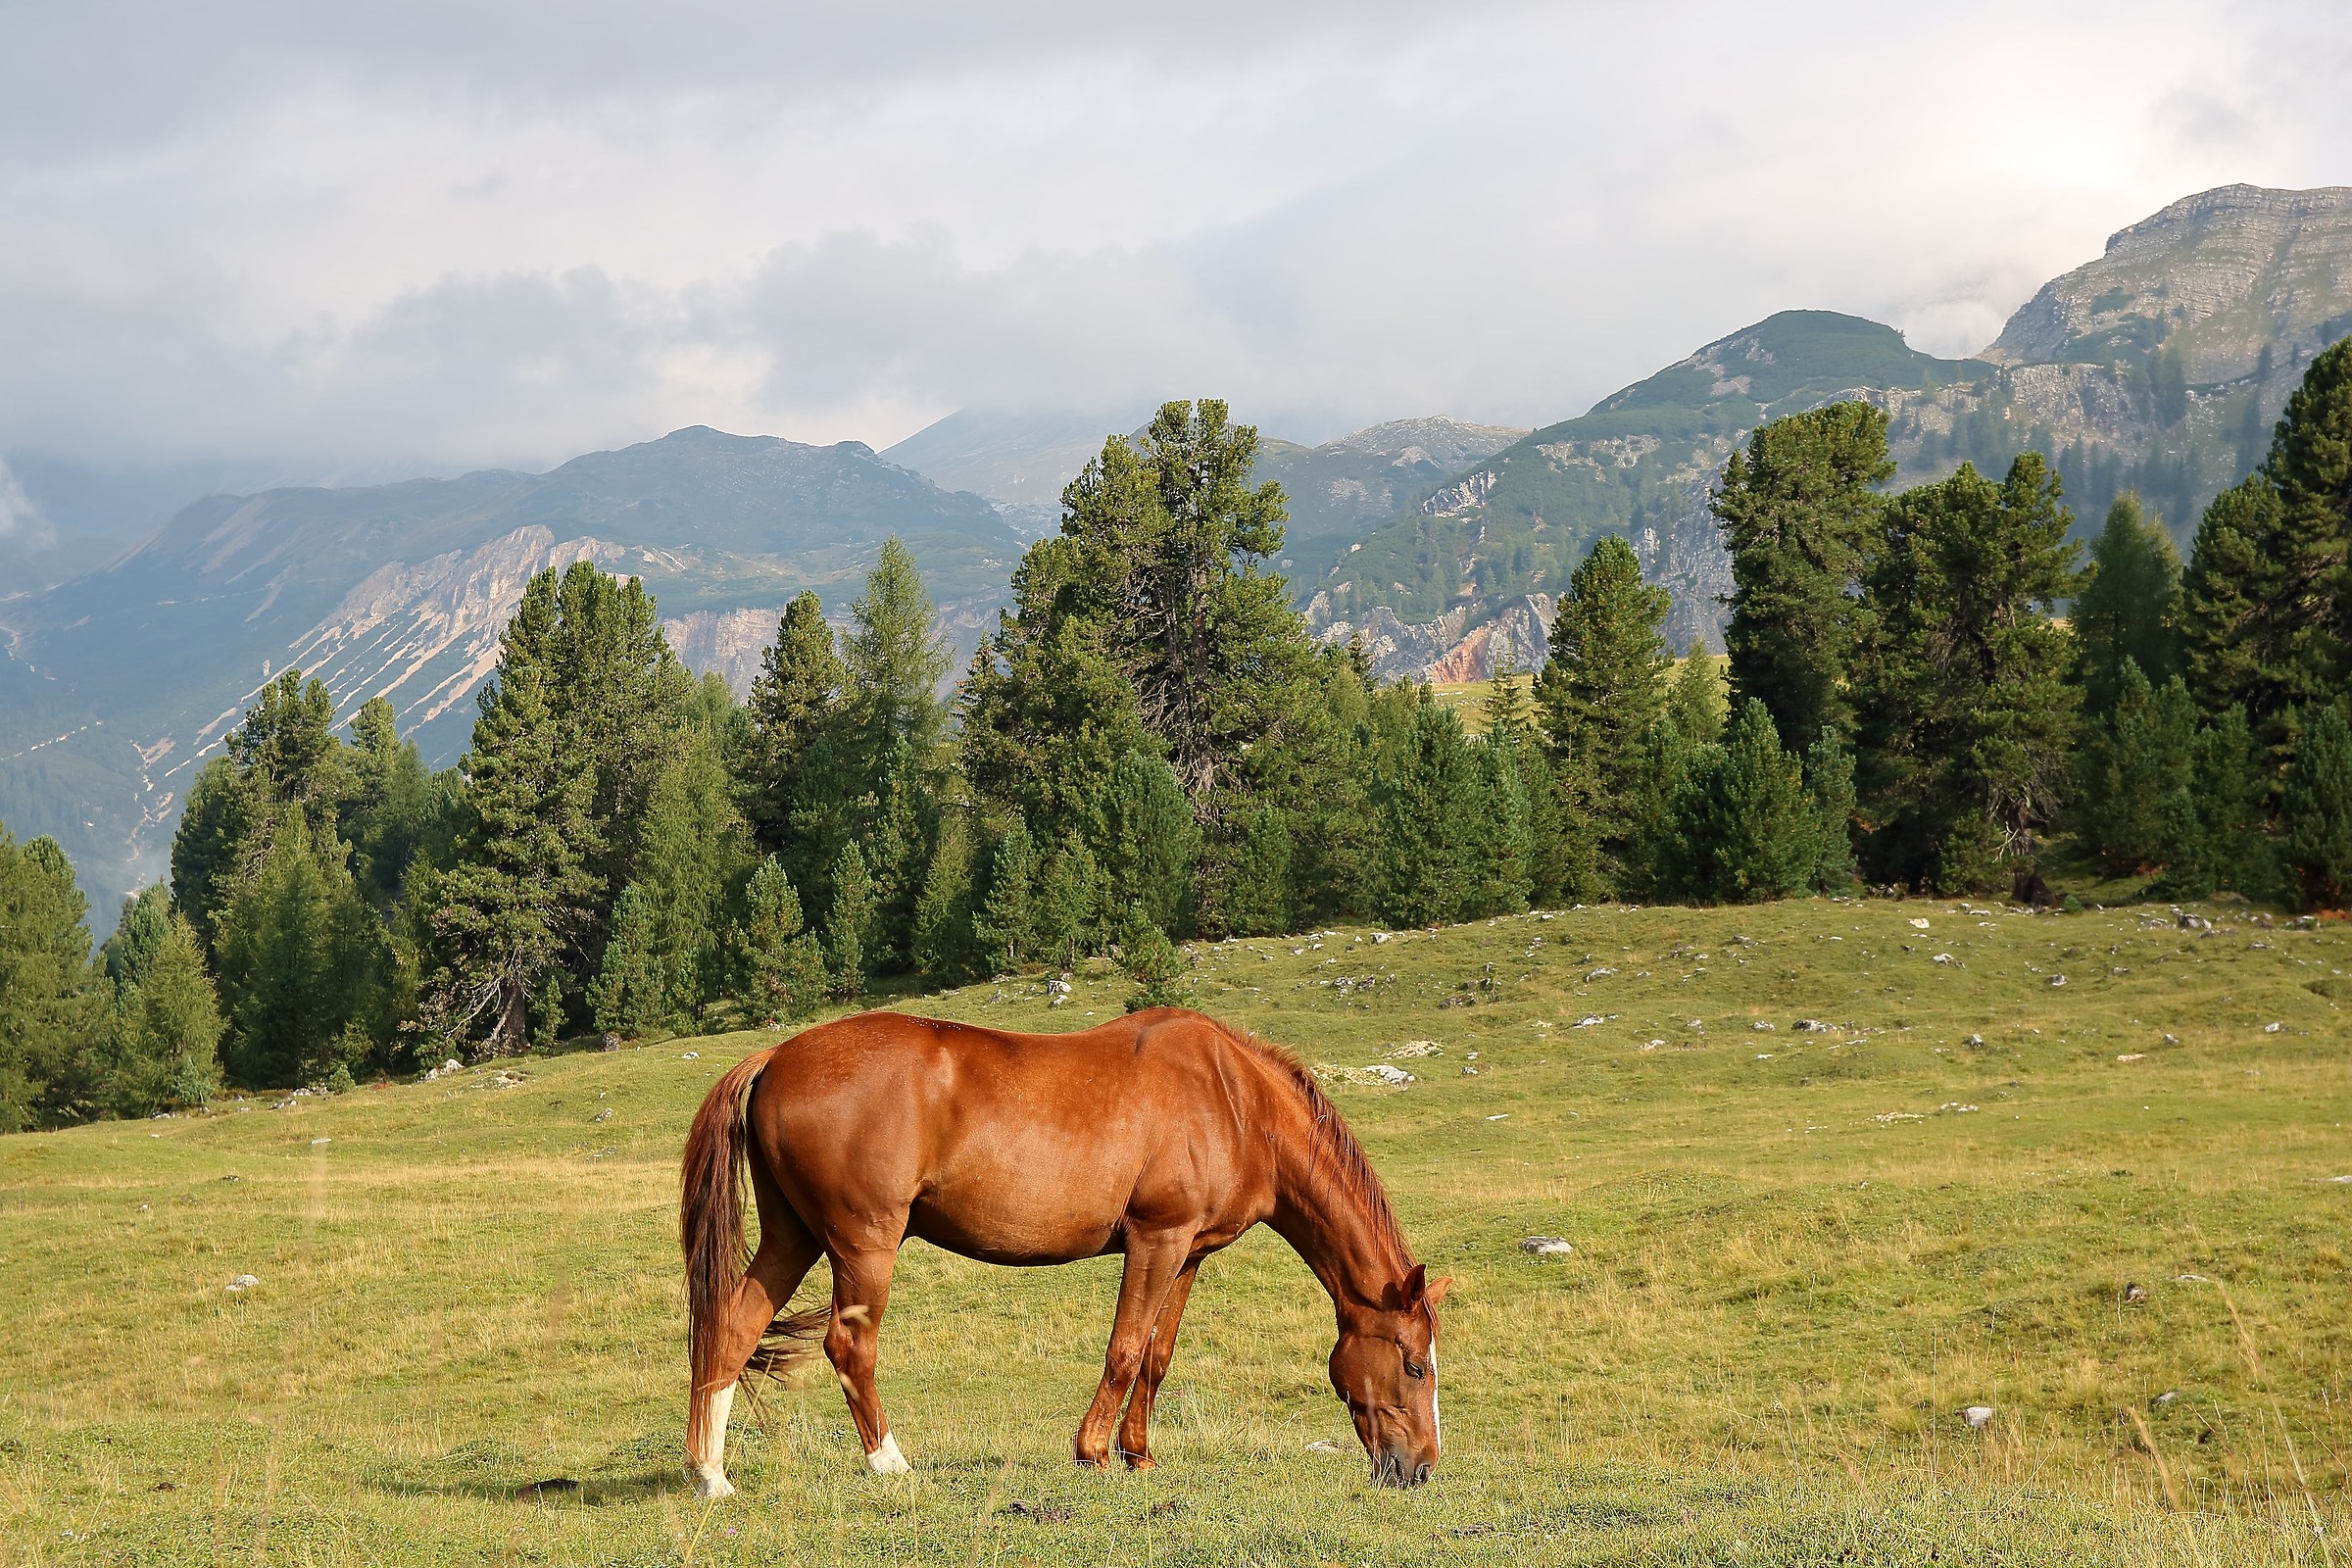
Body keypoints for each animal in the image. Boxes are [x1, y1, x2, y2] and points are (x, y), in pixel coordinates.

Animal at [678, 1006, 1449, 1496]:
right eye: (1414, 1365)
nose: (1420, 1469)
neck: (1233, 1100)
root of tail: (776, 1057)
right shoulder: (1156, 1239)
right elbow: (1126, 1349)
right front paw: (1095, 1454)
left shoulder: (1189, 1253)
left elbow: (1158, 1356)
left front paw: (1139, 1456)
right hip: (862, 1245)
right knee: (849, 1346)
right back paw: (889, 1464)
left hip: (793, 1238)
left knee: (730, 1329)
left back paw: (713, 1477)